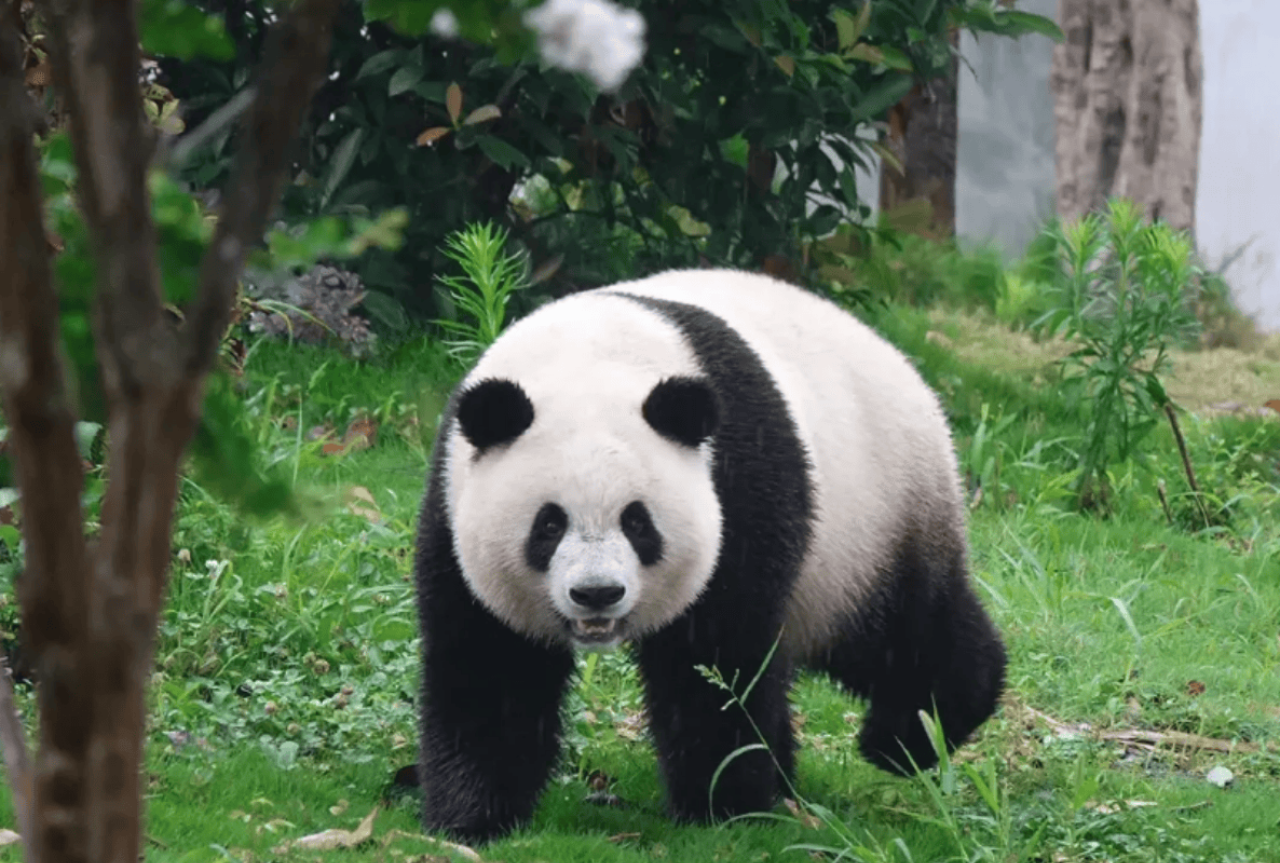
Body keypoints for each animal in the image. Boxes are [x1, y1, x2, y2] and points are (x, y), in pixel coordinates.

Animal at [414, 268, 1006, 842]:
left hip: (870, 522)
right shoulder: (452, 503)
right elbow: (490, 665)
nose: (597, 594)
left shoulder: (739, 486)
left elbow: (713, 661)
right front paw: (472, 817)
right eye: (549, 524)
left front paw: (720, 809)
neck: (587, 358)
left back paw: (908, 738)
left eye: (637, 522)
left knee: (902, 631)